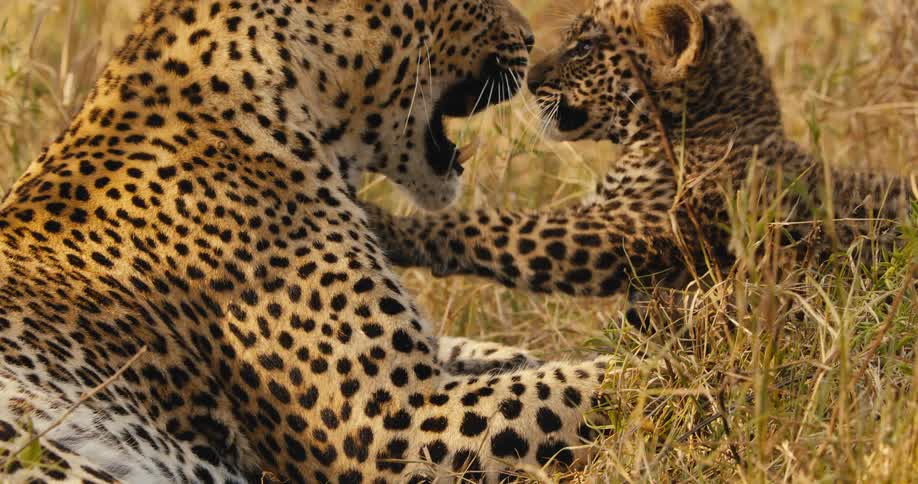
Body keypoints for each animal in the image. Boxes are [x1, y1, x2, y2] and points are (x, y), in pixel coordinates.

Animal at [0, 1, 622, 483]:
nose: (529, 36)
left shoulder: (425, 364)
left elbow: (500, 355)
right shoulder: (393, 421)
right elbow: (583, 381)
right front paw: (646, 359)